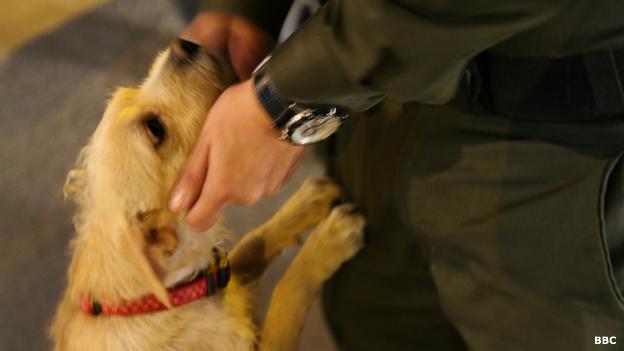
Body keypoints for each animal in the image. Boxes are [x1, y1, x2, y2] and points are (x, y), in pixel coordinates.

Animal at [50, 39, 366, 351]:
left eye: (132, 91)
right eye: (155, 129)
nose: (182, 45)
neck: (161, 297)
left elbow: (253, 243)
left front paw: (306, 204)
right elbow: (286, 294)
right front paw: (328, 241)